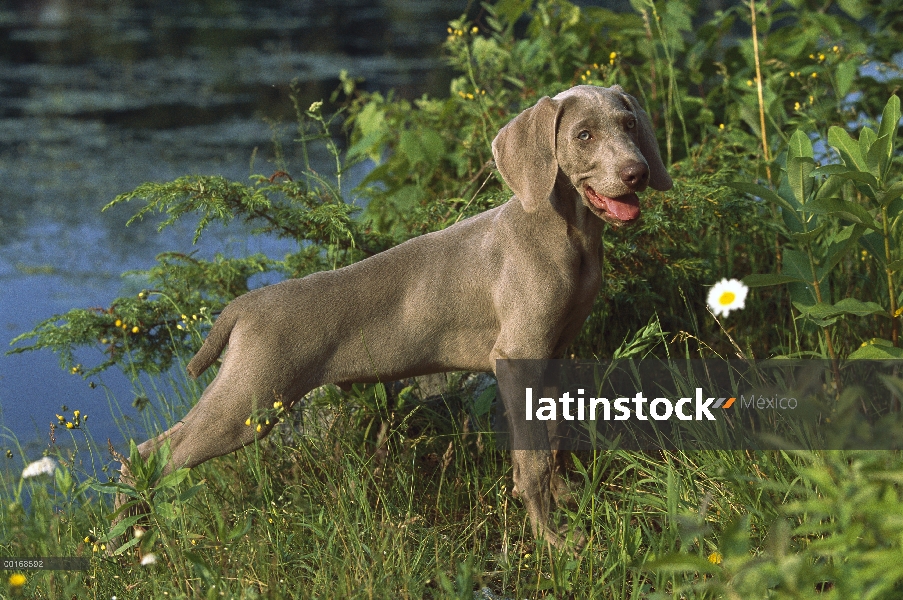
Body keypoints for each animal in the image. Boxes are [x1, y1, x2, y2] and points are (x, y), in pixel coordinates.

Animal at [118, 85, 672, 552]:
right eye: (584, 135)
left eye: (629, 124)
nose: (637, 173)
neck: (566, 233)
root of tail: (245, 306)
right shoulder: (519, 353)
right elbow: (531, 458)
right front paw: (552, 539)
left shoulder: (554, 352)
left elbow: (554, 439)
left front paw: (568, 499)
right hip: (249, 401)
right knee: (148, 453)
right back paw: (130, 535)